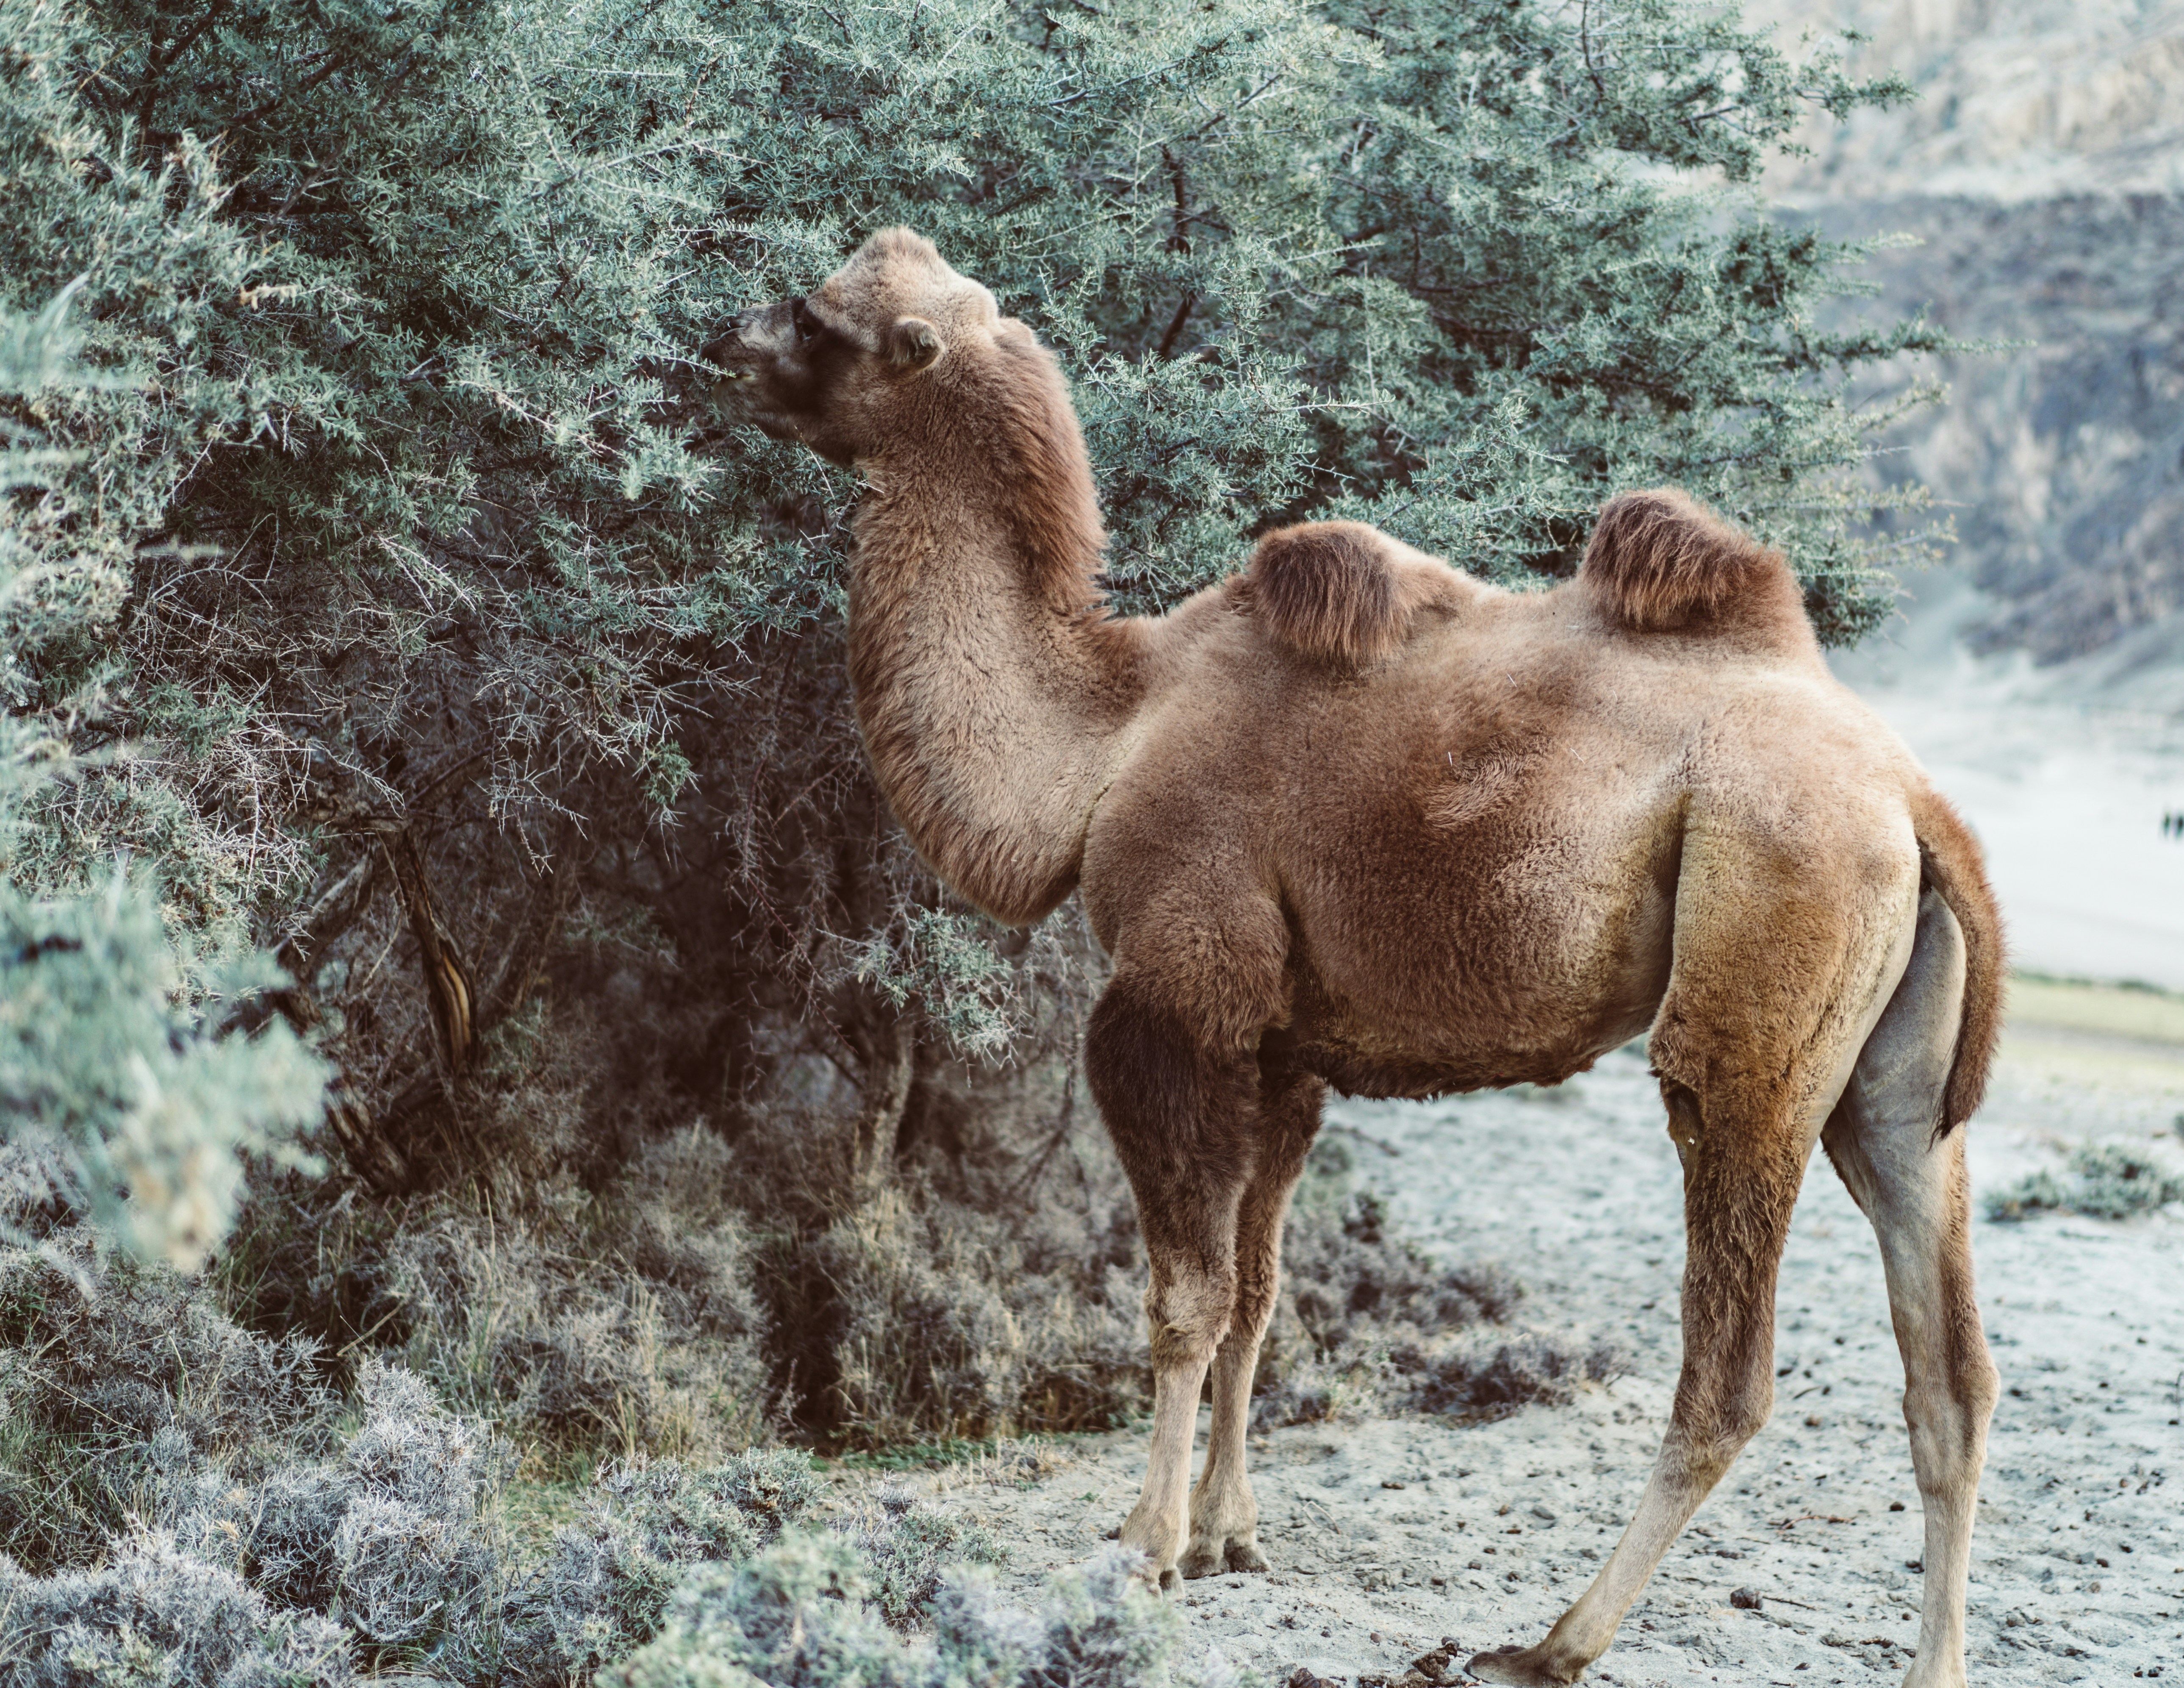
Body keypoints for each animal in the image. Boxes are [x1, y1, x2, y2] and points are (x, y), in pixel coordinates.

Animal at [701, 228, 2005, 1688]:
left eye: (820, 318)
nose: (717, 347)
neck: (1100, 742)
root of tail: (1910, 796)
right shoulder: (1281, 1043)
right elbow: (1260, 1291)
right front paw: (1229, 1534)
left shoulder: (1173, 1001)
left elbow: (1185, 1294)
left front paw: (1146, 1545)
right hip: (1890, 1074)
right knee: (1947, 1366)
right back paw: (1927, 1658)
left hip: (1760, 969)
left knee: (1727, 1362)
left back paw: (1549, 1640)